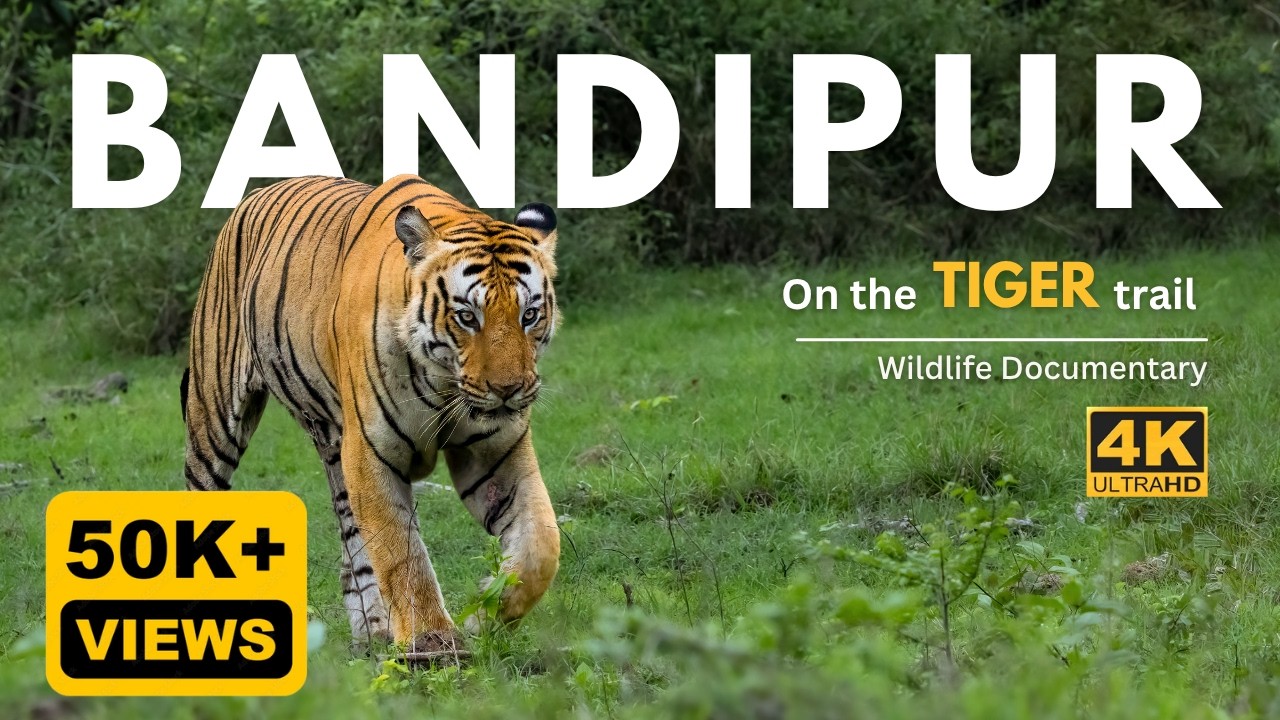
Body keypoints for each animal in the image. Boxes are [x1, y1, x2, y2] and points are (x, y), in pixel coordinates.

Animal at [180, 174, 561, 656]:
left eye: (529, 315)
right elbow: (402, 552)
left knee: (353, 542)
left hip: (333, 443)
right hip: (214, 417)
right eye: (466, 317)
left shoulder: (494, 452)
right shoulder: (372, 453)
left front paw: (482, 617)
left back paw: (373, 629)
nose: (508, 391)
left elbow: (541, 544)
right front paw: (432, 644)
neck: (443, 384)